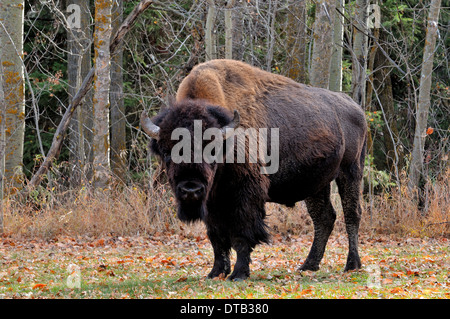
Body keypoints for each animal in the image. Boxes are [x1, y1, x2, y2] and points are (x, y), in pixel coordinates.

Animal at [142, 58, 368, 282]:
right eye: (166, 152)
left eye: (212, 150)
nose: (191, 189)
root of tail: (356, 108)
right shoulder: (213, 201)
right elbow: (217, 237)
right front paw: (216, 273)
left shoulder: (245, 194)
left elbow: (242, 234)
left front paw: (239, 274)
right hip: (316, 184)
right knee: (324, 217)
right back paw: (308, 265)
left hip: (350, 171)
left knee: (352, 214)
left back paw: (352, 265)